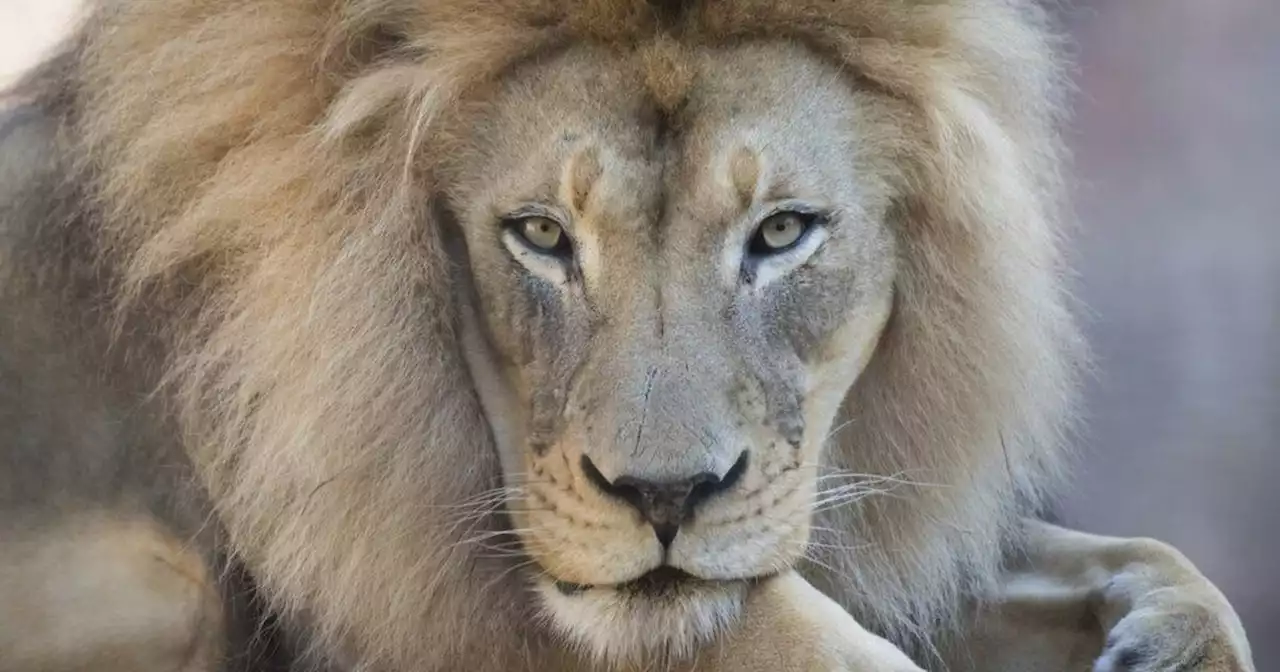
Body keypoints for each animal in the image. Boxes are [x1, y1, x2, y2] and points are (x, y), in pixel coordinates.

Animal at [0, 0, 1259, 665]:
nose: (664, 499)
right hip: (159, 580)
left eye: (781, 231)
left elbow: (1156, 559)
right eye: (539, 234)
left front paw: (1164, 637)